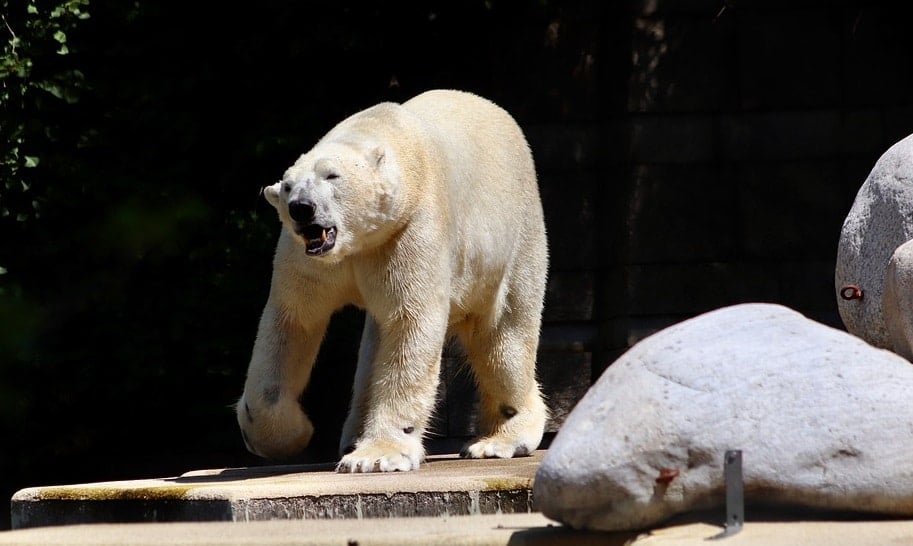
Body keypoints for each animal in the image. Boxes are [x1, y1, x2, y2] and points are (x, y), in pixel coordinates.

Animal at [237, 90, 548, 472]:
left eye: (332, 176)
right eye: (288, 187)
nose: (302, 207)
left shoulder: (409, 227)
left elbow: (409, 324)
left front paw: (377, 456)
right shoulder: (308, 257)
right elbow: (293, 319)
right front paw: (292, 433)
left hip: (516, 236)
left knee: (505, 337)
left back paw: (500, 439)